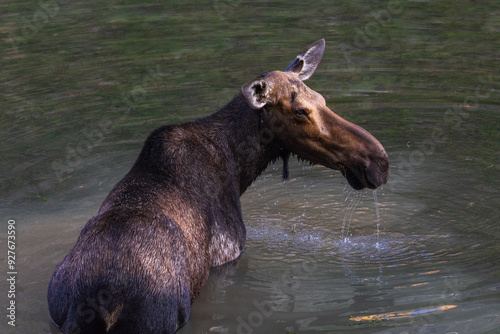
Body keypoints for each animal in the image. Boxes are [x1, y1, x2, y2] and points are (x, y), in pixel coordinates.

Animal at [47, 37, 390, 332]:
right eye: (300, 111)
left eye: (321, 99)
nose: (377, 161)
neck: (238, 170)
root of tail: (100, 301)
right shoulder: (229, 253)